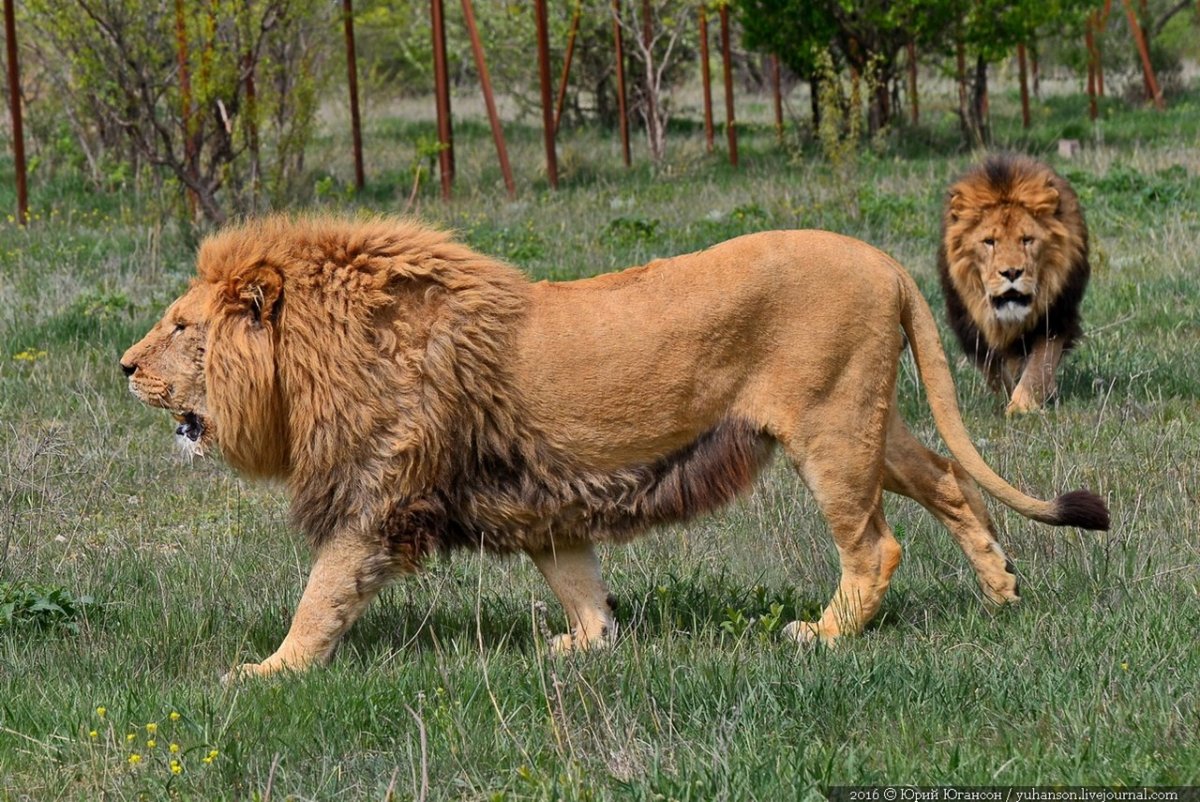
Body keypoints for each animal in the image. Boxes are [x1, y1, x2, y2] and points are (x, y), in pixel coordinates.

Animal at [121, 216, 1108, 679]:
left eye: (180, 326)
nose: (123, 366)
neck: (314, 357)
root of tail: (887, 263)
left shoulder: (377, 495)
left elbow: (319, 597)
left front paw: (264, 674)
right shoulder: (538, 500)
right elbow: (581, 589)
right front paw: (582, 647)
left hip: (831, 429)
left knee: (875, 544)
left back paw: (823, 636)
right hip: (869, 422)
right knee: (946, 479)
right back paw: (1001, 587)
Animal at [938, 154, 1092, 414]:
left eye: (1027, 240)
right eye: (989, 241)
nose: (1011, 272)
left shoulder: (1055, 318)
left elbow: (1040, 364)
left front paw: (1022, 406)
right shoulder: (971, 327)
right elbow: (994, 371)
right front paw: (1007, 397)